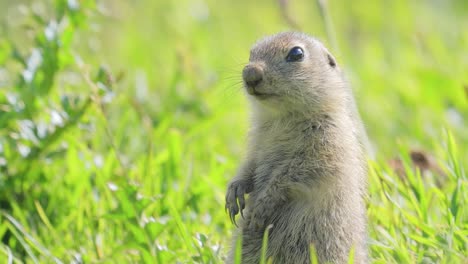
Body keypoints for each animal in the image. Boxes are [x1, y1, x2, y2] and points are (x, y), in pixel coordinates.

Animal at [227, 32, 370, 262]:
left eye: (296, 53)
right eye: (251, 52)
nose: (250, 73)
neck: (282, 118)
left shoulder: (327, 142)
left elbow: (297, 172)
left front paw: (262, 205)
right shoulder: (257, 141)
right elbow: (249, 165)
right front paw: (234, 191)